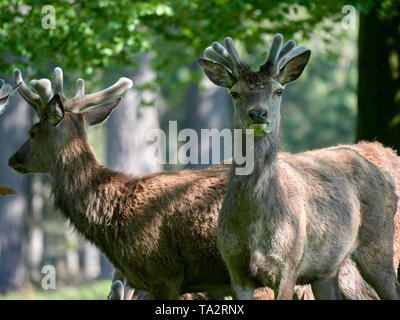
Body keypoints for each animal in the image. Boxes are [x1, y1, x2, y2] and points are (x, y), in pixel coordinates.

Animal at [202, 35, 400, 300]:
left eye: (278, 90)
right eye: (234, 93)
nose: (258, 114)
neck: (253, 224)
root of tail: (386, 176)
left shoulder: (289, 263)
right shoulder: (234, 268)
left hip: (380, 243)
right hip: (328, 268)